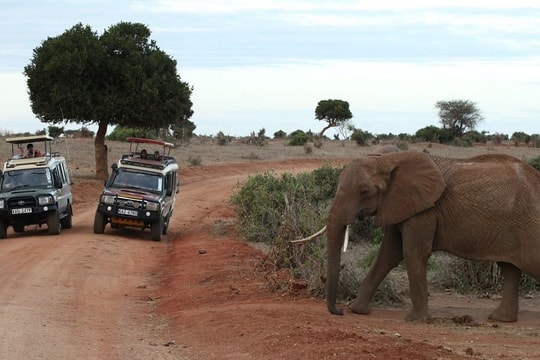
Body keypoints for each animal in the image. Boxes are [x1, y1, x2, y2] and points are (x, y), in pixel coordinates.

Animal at [320, 150, 540, 322]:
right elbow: (389, 254)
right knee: (510, 269)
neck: (388, 160)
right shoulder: (398, 204)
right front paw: (357, 310)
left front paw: (415, 320)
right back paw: (500, 319)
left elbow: (413, 252)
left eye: (364, 191)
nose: (339, 311)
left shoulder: (425, 210)